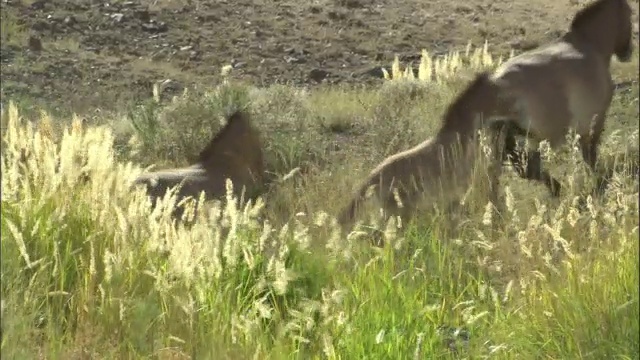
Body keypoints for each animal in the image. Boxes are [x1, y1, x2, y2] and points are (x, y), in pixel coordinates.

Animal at [488, 0, 632, 200]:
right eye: (631, 13)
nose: (628, 52)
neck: (589, 45)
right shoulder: (595, 117)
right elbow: (590, 152)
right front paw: (597, 182)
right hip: (532, 134)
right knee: (527, 167)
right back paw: (556, 188)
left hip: (509, 137)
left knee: (517, 168)